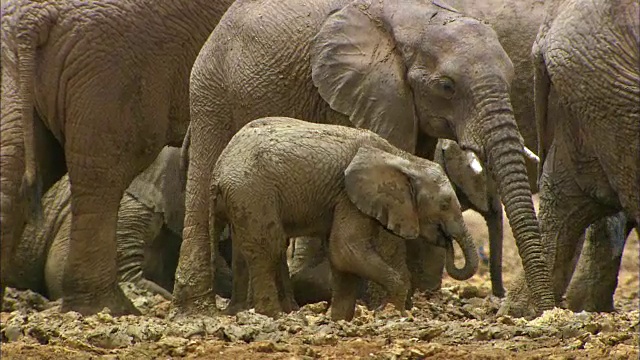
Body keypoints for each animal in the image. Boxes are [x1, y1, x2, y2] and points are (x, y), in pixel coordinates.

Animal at [210, 117, 480, 320]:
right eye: (444, 204)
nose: (446, 240)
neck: (401, 158)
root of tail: (219, 170)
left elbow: (341, 257)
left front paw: (339, 320)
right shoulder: (349, 195)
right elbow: (346, 249)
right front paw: (395, 313)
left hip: (244, 198)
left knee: (248, 248)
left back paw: (243, 312)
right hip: (253, 192)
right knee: (270, 246)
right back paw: (273, 315)